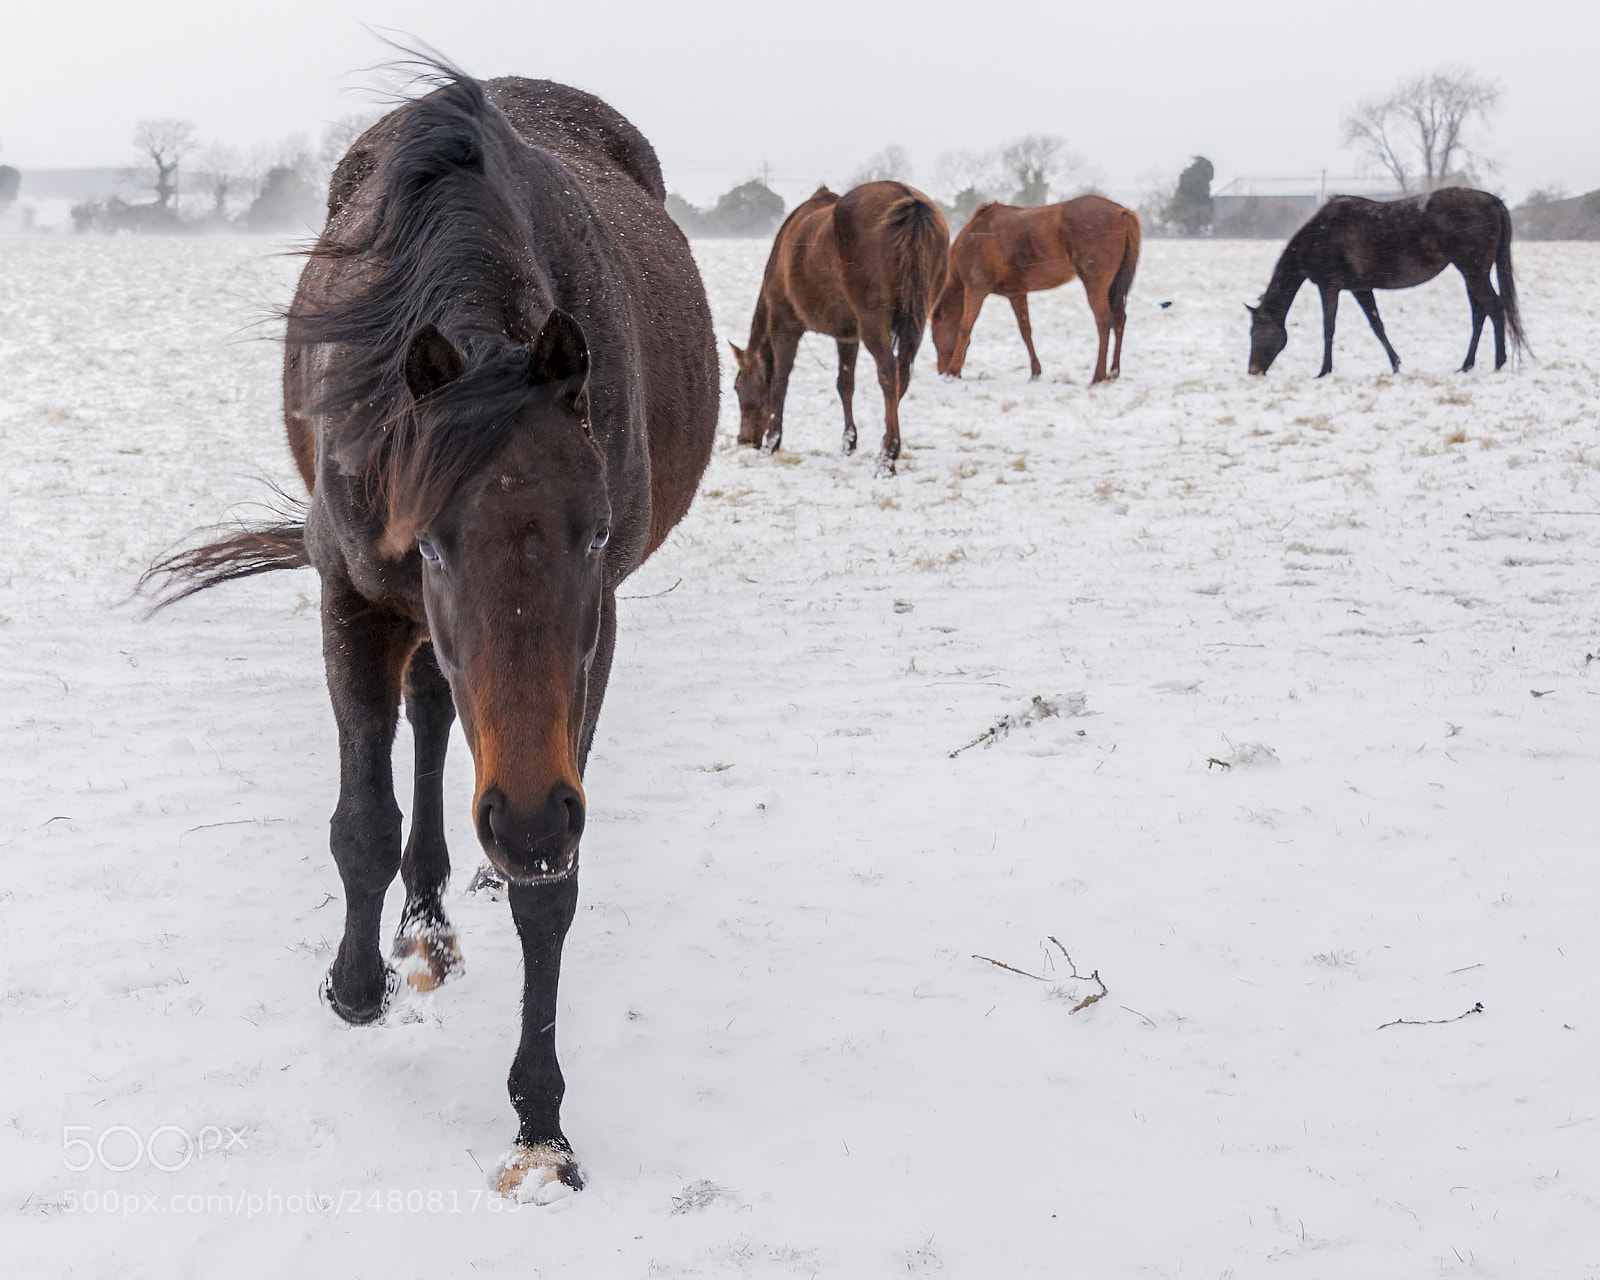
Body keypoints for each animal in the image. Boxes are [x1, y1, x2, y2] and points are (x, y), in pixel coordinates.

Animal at [143, 66, 719, 1202]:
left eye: (595, 535)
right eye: (436, 545)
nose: (526, 817)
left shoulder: (595, 638)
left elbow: (552, 893)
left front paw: (540, 1125)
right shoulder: (354, 593)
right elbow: (362, 821)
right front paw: (357, 983)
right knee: (429, 713)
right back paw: (424, 920)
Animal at [728, 181, 948, 475]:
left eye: (738, 387)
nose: (744, 439)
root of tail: (910, 201)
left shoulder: (785, 326)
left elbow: (779, 382)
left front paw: (771, 441)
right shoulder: (847, 336)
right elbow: (845, 384)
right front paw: (849, 442)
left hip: (873, 322)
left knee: (888, 372)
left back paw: (887, 455)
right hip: (917, 319)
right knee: (902, 373)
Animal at [930, 195, 1141, 383]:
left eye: (933, 338)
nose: (940, 370)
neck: (974, 238)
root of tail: (1121, 211)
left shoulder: (976, 289)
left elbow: (965, 327)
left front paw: (952, 372)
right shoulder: (1016, 294)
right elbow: (1026, 330)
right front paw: (1035, 372)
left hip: (1095, 283)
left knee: (1104, 321)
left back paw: (1098, 376)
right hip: (1113, 286)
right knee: (1119, 319)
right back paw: (1114, 372)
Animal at [1247, 187, 1525, 377]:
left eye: (1255, 332)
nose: (1253, 370)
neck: (1320, 235)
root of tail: (1492, 200)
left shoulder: (1329, 288)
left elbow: (1329, 329)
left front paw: (1324, 371)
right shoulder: (1360, 289)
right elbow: (1377, 325)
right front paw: (1396, 364)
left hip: (1474, 272)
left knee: (1494, 308)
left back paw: (1498, 363)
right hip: (1471, 273)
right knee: (1480, 313)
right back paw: (1466, 365)